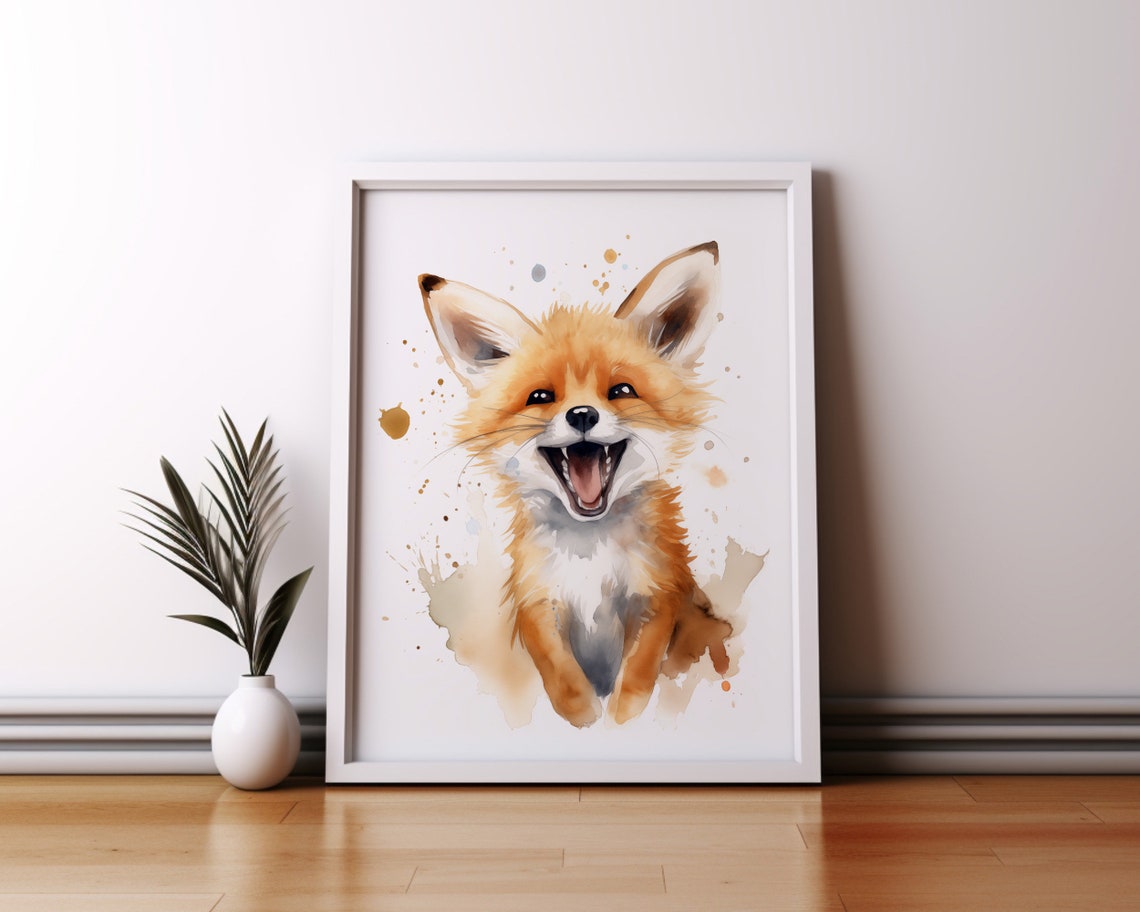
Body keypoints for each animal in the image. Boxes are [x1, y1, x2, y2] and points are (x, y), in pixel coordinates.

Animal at [420, 241, 732, 727]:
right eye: (541, 397)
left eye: (621, 391)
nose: (582, 414)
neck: (590, 555)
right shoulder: (539, 605)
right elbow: (563, 679)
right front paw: (585, 717)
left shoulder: (656, 599)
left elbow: (636, 680)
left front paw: (621, 721)